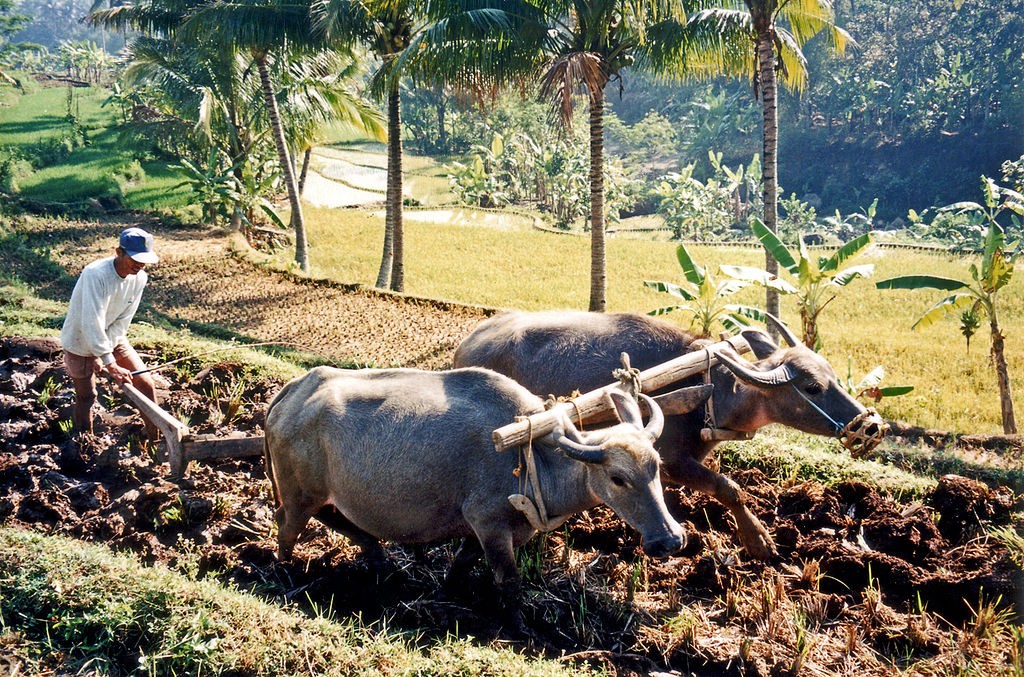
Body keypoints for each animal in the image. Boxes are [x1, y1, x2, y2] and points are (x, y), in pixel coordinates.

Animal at [264, 365, 685, 616]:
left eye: (656, 467)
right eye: (618, 478)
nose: (671, 540)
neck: (531, 457)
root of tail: (293, 391)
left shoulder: (480, 530)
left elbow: (463, 563)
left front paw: (445, 592)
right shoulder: (490, 524)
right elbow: (508, 581)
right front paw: (520, 625)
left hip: (317, 494)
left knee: (336, 520)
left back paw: (380, 559)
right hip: (299, 493)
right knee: (287, 526)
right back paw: (284, 574)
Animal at [453, 311, 887, 559]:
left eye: (833, 375)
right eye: (812, 387)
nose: (871, 426)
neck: (709, 391)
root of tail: (466, 344)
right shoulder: (675, 461)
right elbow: (729, 488)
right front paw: (759, 541)